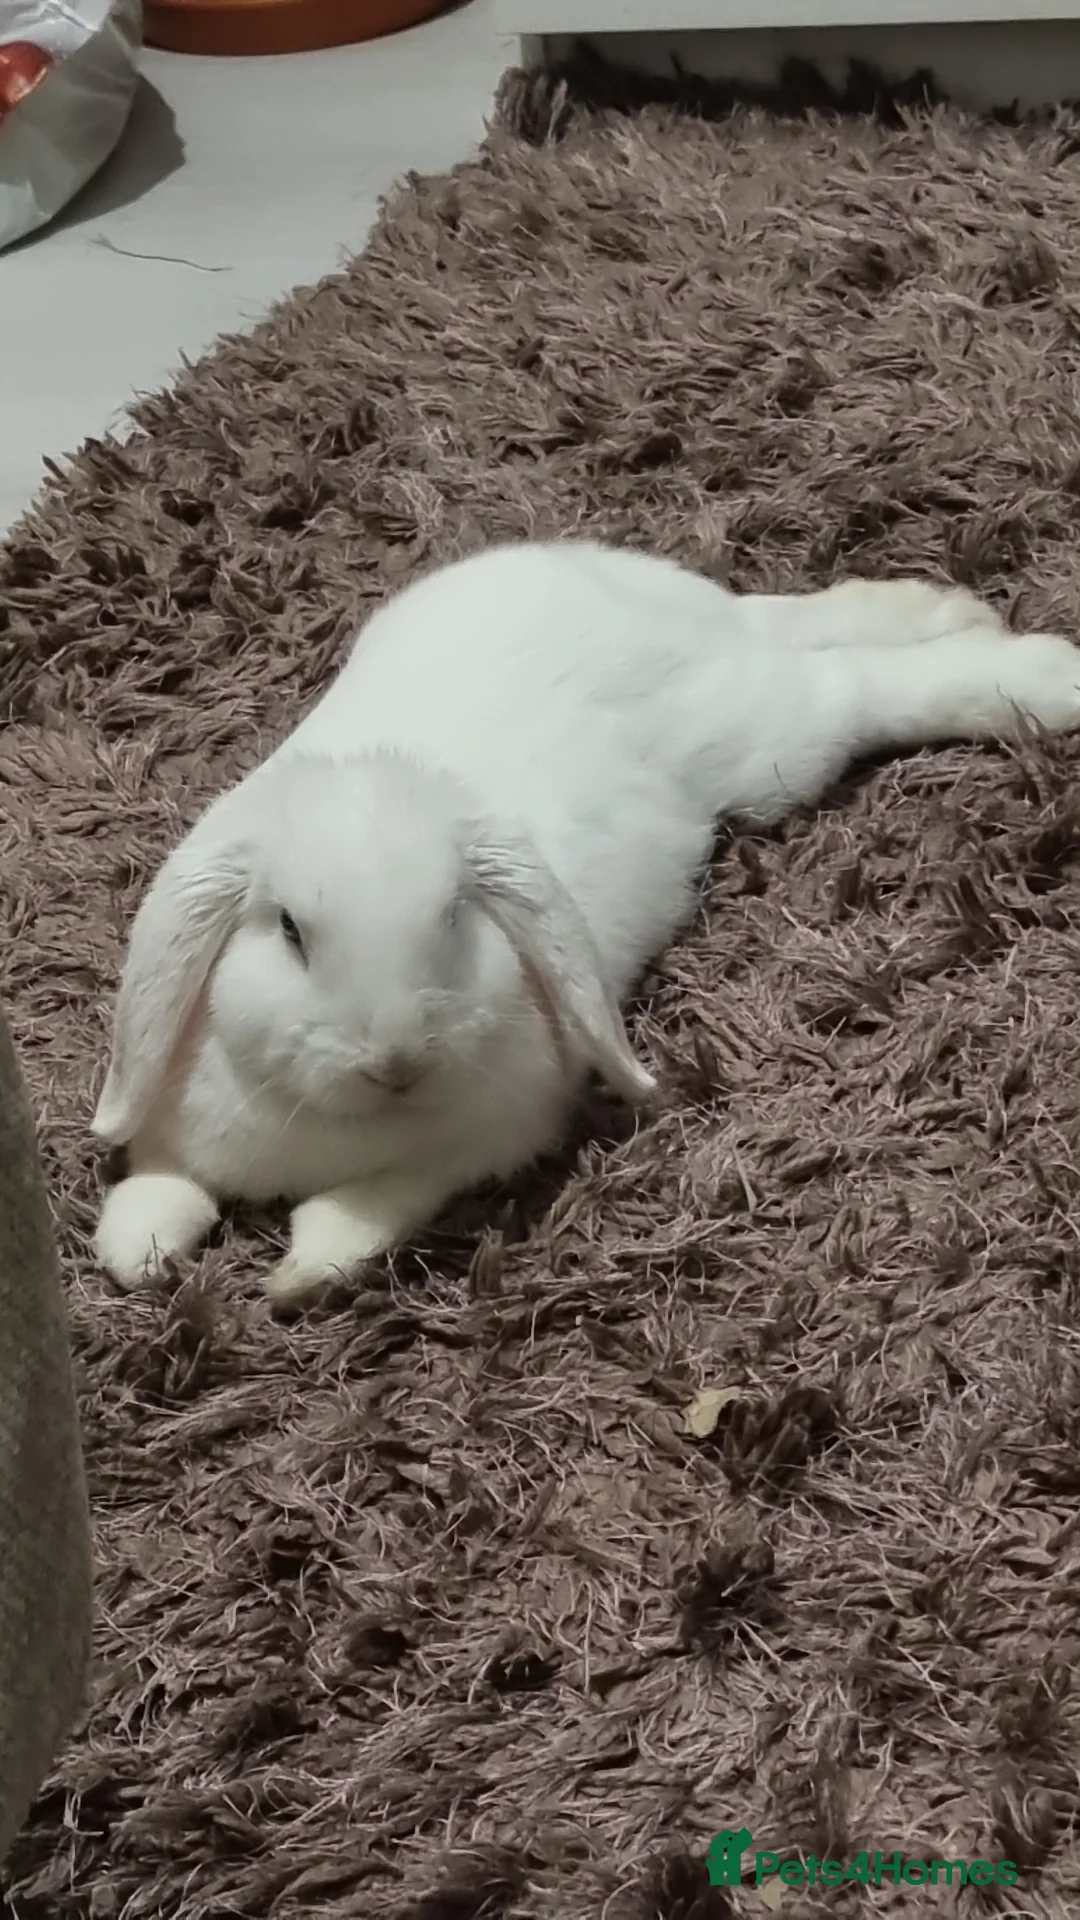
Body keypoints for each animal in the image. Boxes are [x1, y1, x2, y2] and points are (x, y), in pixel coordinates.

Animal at [92, 538, 1080, 1308]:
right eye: (291, 931)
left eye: (454, 914)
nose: (397, 1061)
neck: (331, 1120)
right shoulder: (172, 1136)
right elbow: (157, 1193)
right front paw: (139, 1260)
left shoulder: (478, 1146)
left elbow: (360, 1215)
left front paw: (293, 1278)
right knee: (804, 623)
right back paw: (941, 604)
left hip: (777, 746)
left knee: (859, 686)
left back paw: (1045, 678)